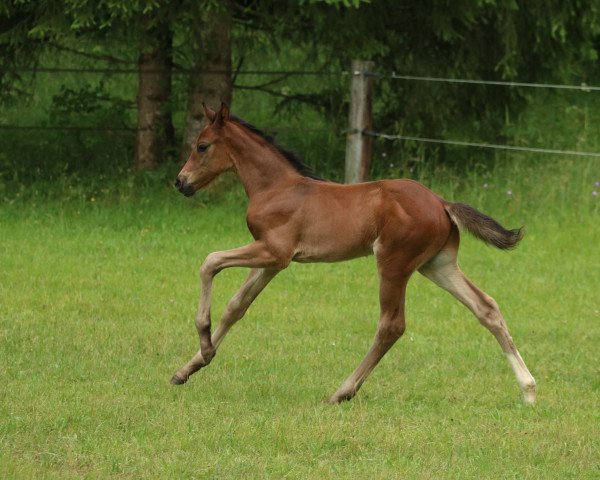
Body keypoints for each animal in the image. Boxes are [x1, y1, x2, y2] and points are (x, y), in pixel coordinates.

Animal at [171, 102, 536, 404]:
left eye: (202, 146)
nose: (180, 182)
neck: (275, 188)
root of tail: (442, 203)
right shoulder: (272, 261)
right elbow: (237, 306)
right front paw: (192, 365)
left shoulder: (274, 252)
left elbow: (210, 262)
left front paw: (204, 340)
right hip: (438, 265)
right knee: (486, 307)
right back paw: (529, 390)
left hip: (393, 263)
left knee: (392, 325)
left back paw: (342, 391)